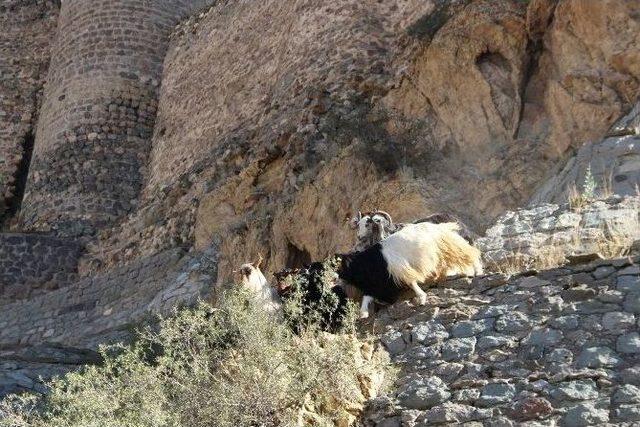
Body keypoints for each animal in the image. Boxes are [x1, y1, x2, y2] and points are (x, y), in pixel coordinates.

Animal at [338, 221, 482, 318]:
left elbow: (411, 282)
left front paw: (422, 298)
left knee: (468, 253)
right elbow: (368, 296)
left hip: (447, 245)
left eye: (339, 265)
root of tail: (438, 226)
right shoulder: (378, 282)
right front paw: (363, 313)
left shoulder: (399, 269)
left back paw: (478, 271)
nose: (337, 277)